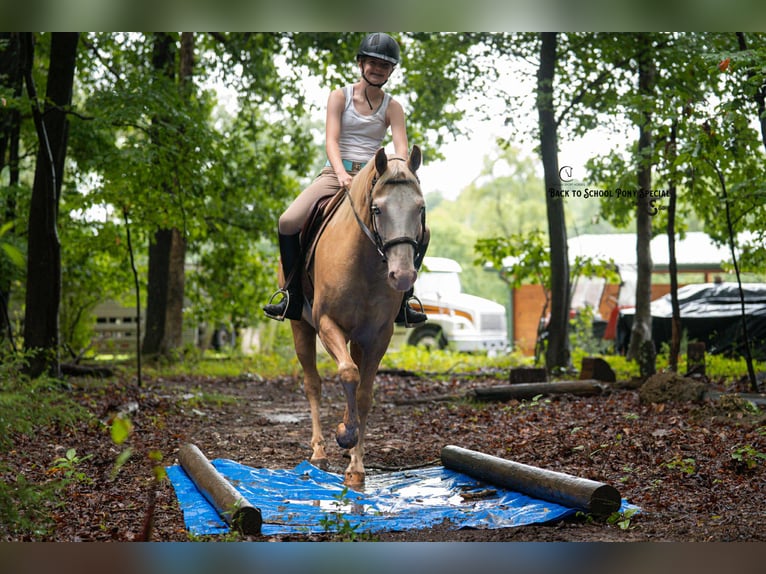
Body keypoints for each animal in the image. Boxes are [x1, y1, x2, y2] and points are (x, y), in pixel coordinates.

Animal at [290, 145, 426, 486]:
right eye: (377, 209)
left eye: (420, 208)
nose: (402, 276)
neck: (364, 261)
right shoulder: (327, 324)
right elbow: (348, 374)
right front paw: (345, 434)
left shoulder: (378, 335)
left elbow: (364, 393)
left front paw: (356, 465)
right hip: (301, 327)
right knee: (313, 384)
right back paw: (319, 452)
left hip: (358, 338)